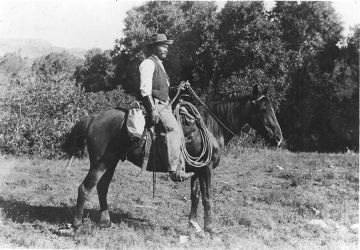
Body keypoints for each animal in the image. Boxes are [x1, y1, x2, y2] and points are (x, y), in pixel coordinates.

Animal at [61, 85, 282, 233]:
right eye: (263, 110)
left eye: (272, 109)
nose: (279, 138)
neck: (212, 128)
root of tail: (93, 118)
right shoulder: (207, 169)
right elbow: (208, 198)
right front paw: (210, 228)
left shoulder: (197, 169)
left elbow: (195, 196)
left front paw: (193, 225)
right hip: (100, 163)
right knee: (85, 188)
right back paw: (77, 225)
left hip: (112, 162)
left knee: (102, 187)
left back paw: (105, 221)